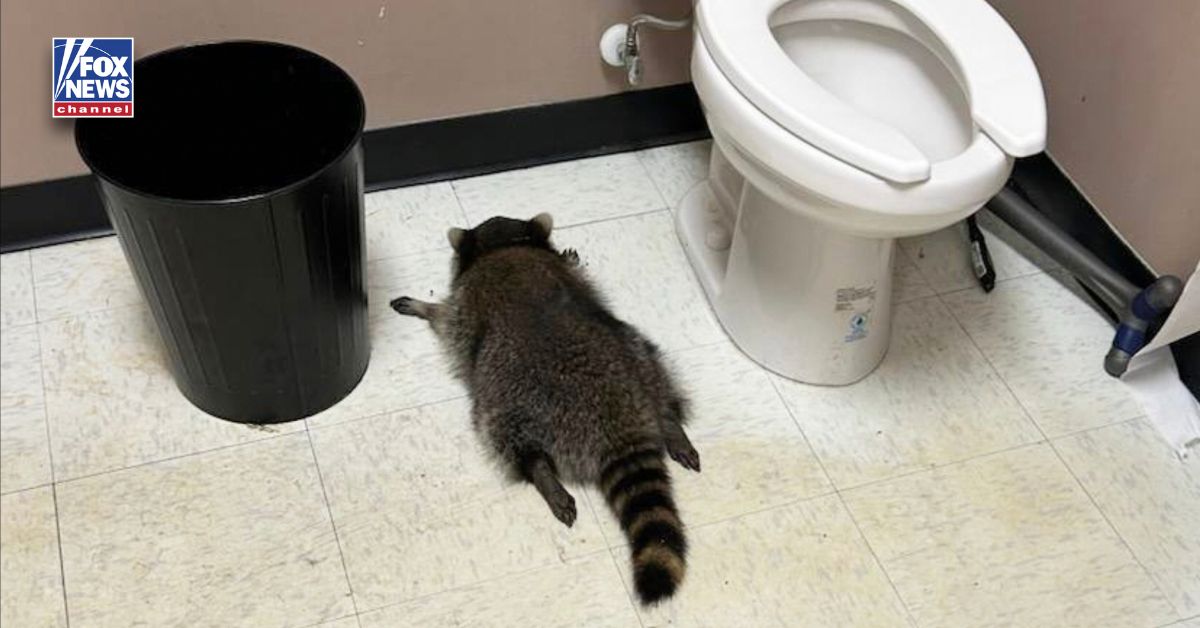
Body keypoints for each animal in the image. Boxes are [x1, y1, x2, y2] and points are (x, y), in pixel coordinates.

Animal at [390, 213, 700, 605]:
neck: (505, 245)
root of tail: (618, 421)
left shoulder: (464, 306)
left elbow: (445, 318)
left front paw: (424, 307)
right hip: (637, 353)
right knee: (656, 372)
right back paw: (671, 422)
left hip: (510, 399)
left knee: (504, 434)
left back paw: (540, 472)